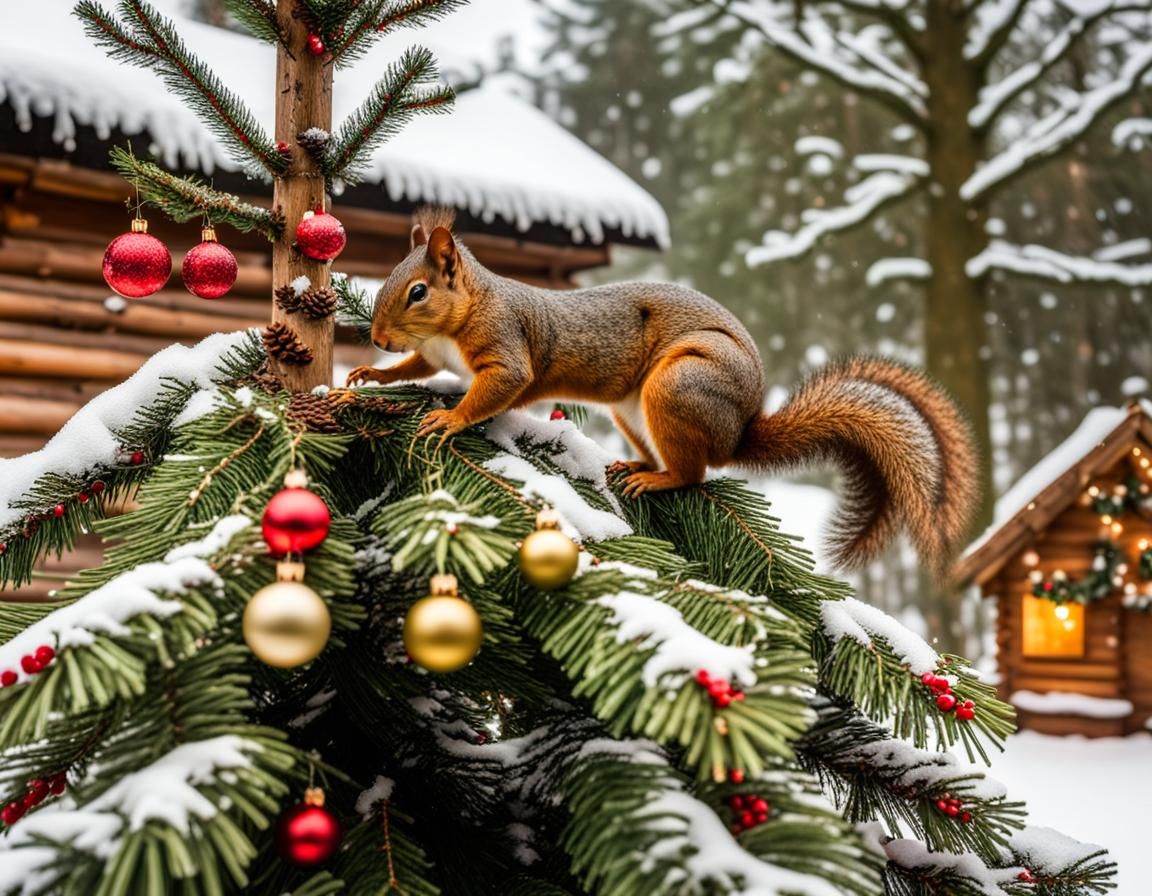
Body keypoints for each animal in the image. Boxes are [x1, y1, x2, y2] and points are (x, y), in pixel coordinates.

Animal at [347, 208, 978, 571]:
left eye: (419, 292)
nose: (375, 338)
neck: (459, 318)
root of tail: (738, 430)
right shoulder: (433, 356)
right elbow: (414, 371)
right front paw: (369, 377)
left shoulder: (506, 353)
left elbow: (493, 388)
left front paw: (450, 419)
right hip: (633, 411)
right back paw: (633, 467)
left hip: (677, 387)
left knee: (695, 474)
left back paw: (658, 479)